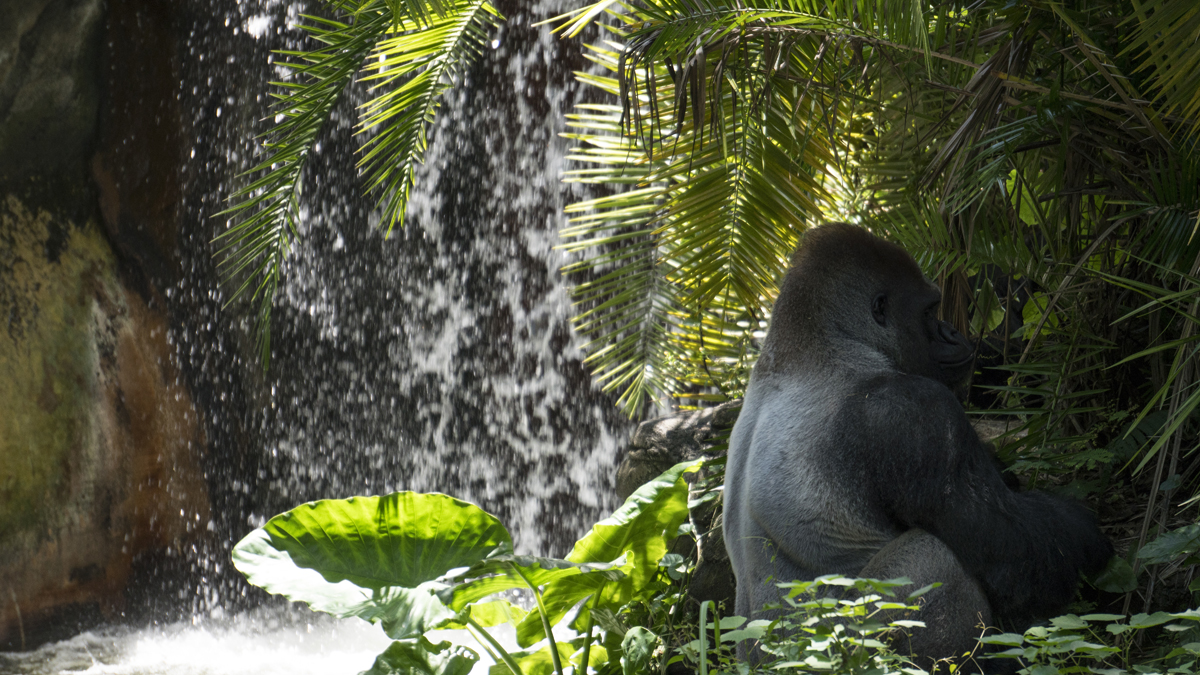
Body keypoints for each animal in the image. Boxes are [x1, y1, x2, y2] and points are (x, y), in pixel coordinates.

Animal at [715, 223, 1108, 662]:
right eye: (929, 311)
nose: (953, 332)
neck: (811, 346)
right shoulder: (917, 411)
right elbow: (1016, 551)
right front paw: (1087, 534)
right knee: (931, 555)